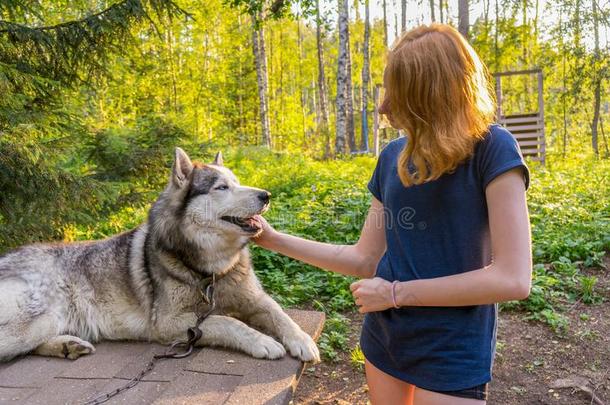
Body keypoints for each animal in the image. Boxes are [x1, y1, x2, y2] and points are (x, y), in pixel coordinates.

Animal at [0, 148, 320, 362]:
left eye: (238, 182)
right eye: (221, 187)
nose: (266, 195)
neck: (210, 269)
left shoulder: (254, 299)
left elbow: (279, 313)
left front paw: (301, 340)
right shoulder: (170, 323)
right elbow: (228, 322)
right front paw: (262, 341)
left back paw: (68, 346)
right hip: (38, 321)